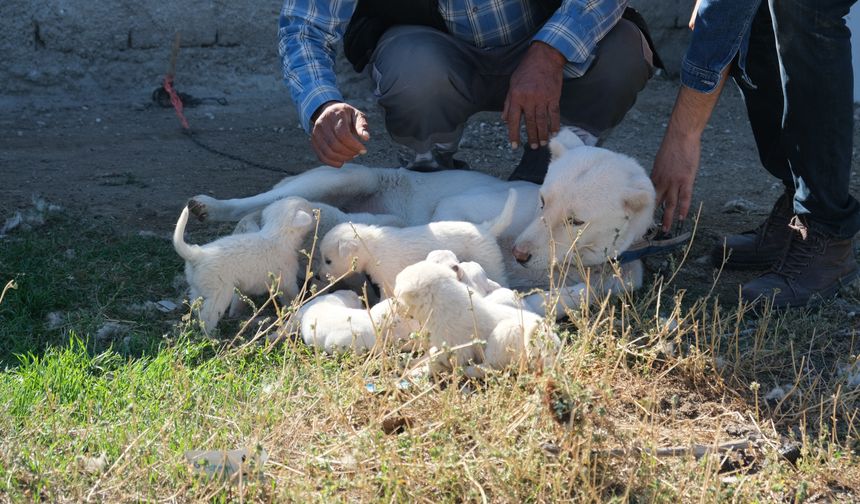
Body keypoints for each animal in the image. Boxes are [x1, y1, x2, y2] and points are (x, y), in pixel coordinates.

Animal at [318, 191, 512, 298]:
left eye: (328, 261)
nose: (318, 277)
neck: (372, 247)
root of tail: (486, 228)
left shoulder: (388, 282)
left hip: (491, 265)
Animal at [394, 262, 560, 376]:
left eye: (397, 296)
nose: (395, 310)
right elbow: (430, 353)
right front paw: (411, 362)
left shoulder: (457, 349)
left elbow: (436, 361)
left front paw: (416, 372)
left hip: (505, 333)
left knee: (490, 368)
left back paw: (467, 371)